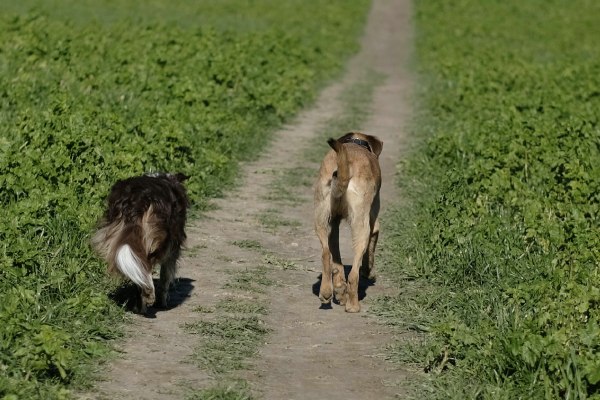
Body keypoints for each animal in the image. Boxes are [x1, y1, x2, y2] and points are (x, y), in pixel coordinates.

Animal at [91, 172, 189, 312]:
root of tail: (135, 201)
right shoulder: (172, 251)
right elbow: (165, 278)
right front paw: (162, 303)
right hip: (160, 241)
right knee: (146, 266)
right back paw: (148, 296)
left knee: (139, 269)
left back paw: (141, 305)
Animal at [316, 132, 382, 312]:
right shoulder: (373, 223)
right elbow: (370, 251)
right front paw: (369, 271)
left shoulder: (334, 225)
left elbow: (337, 262)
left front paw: (339, 291)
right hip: (361, 226)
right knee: (353, 274)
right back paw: (353, 305)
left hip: (321, 217)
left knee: (326, 254)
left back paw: (326, 292)